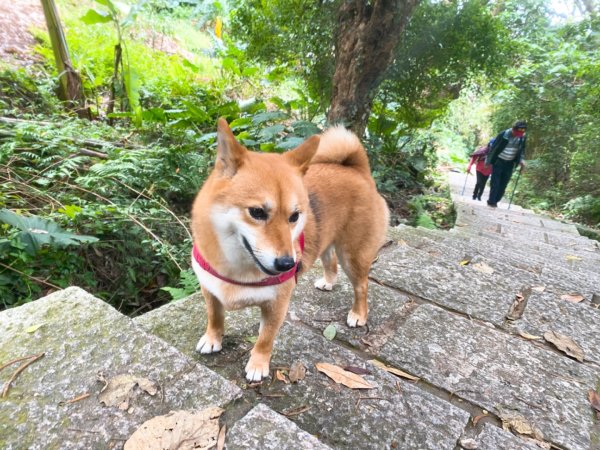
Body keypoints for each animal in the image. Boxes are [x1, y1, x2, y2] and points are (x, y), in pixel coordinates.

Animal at [191, 117, 390, 380]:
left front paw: (258, 364)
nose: (288, 264)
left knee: (361, 286)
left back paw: (358, 314)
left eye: (294, 216)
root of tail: (358, 170)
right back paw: (328, 282)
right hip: (326, 242)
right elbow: (214, 316)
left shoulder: (277, 304)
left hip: (353, 256)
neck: (236, 268)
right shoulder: (209, 289)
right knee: (330, 262)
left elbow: (265, 339)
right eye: (257, 212)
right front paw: (213, 339)